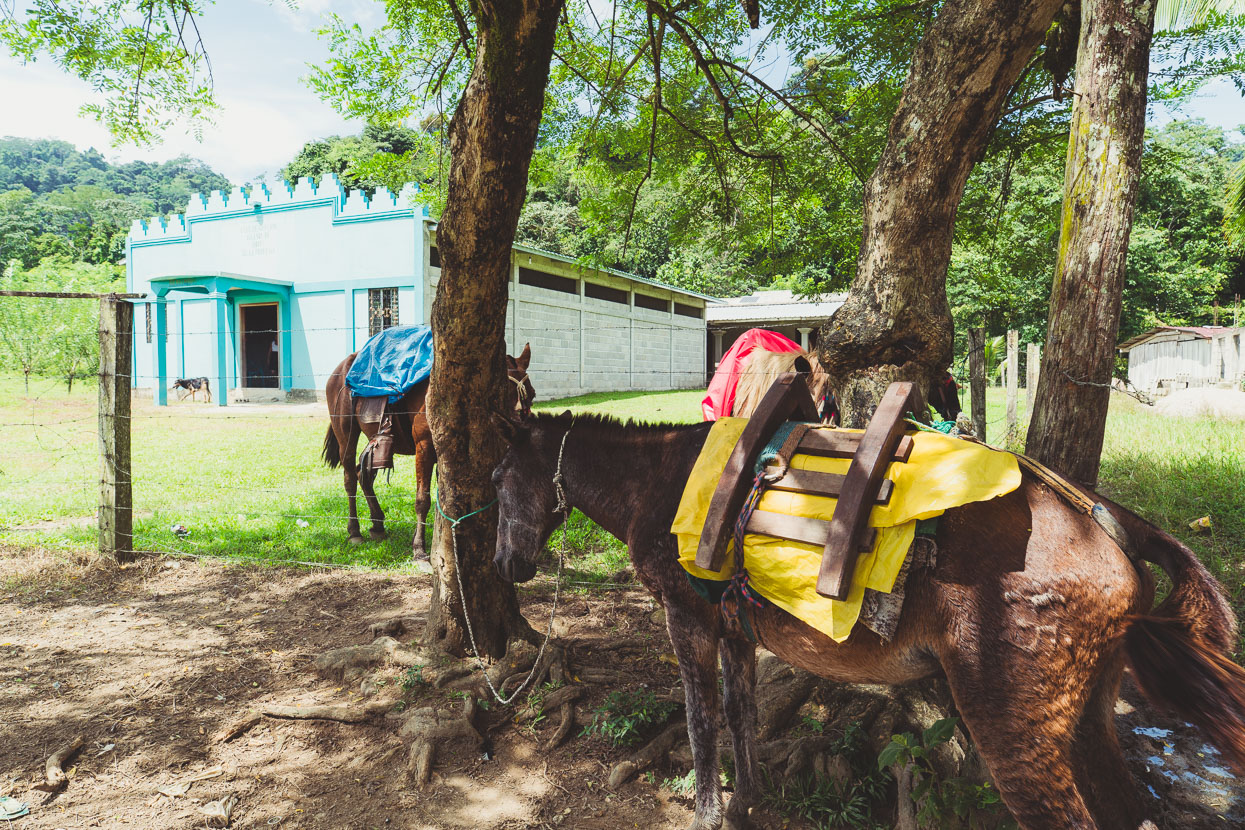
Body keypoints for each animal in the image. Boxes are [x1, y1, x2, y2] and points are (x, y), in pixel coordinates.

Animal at [321, 343, 530, 557]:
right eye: (501, 396)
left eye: (531, 395)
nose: (519, 432)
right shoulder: (424, 447)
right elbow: (423, 498)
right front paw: (419, 548)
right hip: (346, 435)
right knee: (349, 478)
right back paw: (354, 531)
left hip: (375, 441)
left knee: (362, 474)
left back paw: (377, 524)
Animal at [493, 415, 1245, 830]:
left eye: (498, 480)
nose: (505, 564)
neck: (666, 482)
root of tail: (1107, 519)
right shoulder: (737, 633)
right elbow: (739, 714)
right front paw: (744, 806)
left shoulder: (690, 622)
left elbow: (700, 722)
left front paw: (707, 812)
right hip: (1086, 715)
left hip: (1015, 731)